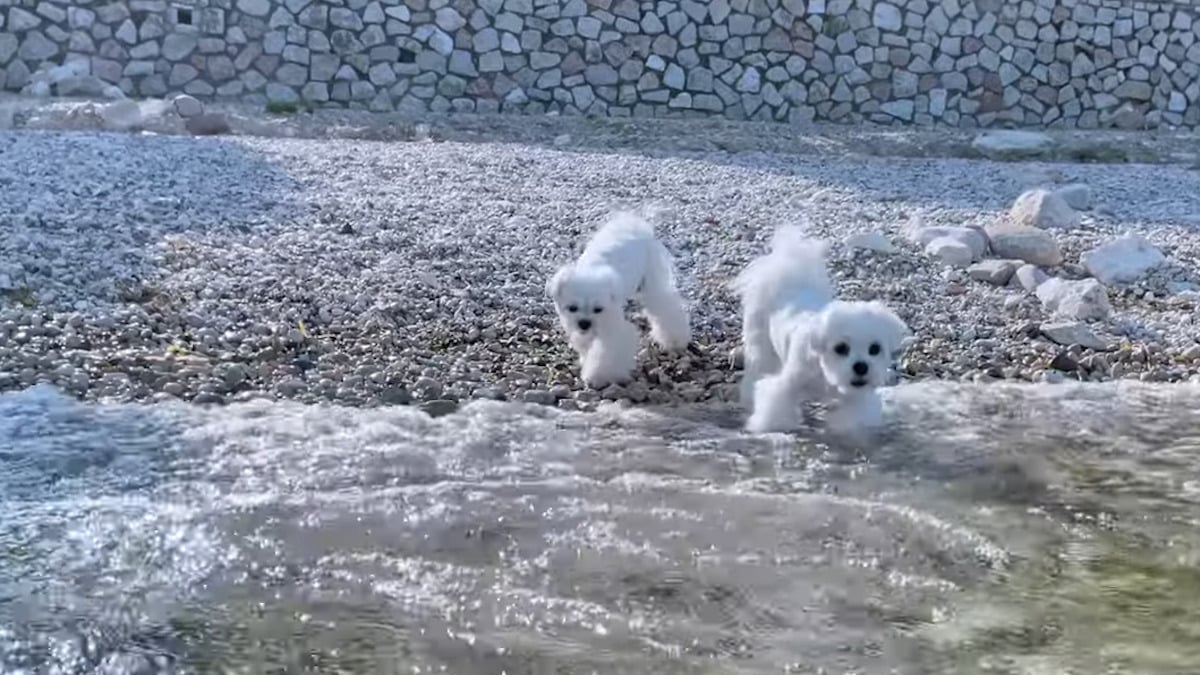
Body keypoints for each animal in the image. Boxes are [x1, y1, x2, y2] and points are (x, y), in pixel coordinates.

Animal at [547, 210, 696, 389]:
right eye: (572, 308)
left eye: (598, 309)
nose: (584, 323)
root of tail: (633, 224)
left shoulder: (613, 329)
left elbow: (607, 352)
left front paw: (598, 376)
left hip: (651, 282)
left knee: (664, 306)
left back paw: (674, 339)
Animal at [729, 223, 907, 432]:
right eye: (841, 348)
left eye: (875, 349)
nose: (861, 367)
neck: (825, 375)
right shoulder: (788, 384)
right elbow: (776, 401)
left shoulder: (856, 397)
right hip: (760, 343)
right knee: (757, 367)